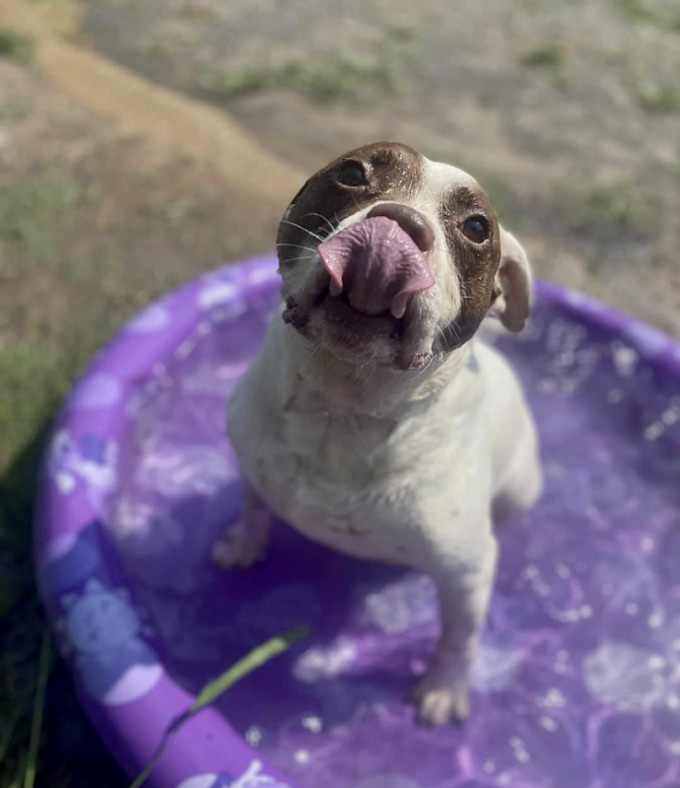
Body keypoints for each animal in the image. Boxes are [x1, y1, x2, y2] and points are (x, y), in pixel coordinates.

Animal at [215, 143, 544, 728]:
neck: (343, 410)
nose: (400, 224)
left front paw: (444, 688)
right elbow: (254, 506)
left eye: (476, 227)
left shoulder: (467, 571)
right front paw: (243, 543)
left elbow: (458, 638)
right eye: (352, 172)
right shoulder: (253, 461)